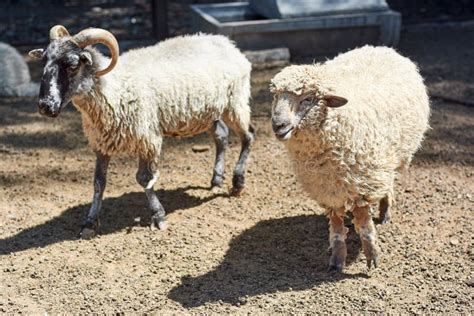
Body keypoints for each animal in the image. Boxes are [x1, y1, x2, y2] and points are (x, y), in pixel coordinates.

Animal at [27, 25, 254, 237]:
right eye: (44, 61)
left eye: (73, 65)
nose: (45, 106)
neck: (114, 89)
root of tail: (227, 42)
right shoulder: (102, 143)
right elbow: (98, 183)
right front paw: (89, 223)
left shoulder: (148, 140)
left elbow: (144, 179)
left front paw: (158, 216)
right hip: (210, 112)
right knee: (221, 136)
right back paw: (216, 180)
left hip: (235, 102)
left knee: (248, 136)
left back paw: (238, 183)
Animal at [270, 45, 430, 272]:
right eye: (275, 96)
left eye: (308, 99)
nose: (278, 125)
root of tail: (381, 48)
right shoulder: (327, 189)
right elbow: (337, 228)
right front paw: (337, 260)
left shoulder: (362, 184)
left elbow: (364, 226)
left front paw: (372, 256)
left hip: (391, 159)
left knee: (389, 183)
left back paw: (385, 212)